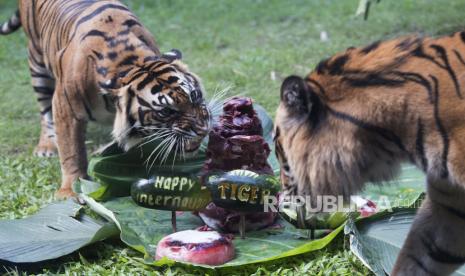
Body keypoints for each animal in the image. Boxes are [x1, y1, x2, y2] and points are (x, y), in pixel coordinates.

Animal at [0, 0, 209, 198]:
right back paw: (46, 146)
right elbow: (71, 151)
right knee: (45, 112)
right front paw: (69, 190)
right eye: (166, 111)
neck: (129, 61)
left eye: (194, 95)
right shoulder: (65, 106)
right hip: (37, 64)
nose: (203, 130)